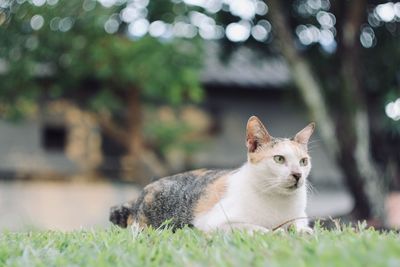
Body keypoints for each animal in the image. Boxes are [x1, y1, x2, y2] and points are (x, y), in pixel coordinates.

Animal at [110, 116, 316, 233]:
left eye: (303, 161)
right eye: (279, 159)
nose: (298, 174)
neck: (278, 202)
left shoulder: (300, 218)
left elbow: (299, 226)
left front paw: (302, 232)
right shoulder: (215, 223)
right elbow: (257, 229)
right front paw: (277, 233)